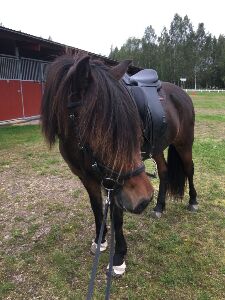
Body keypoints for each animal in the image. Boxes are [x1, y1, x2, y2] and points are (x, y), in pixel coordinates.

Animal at [40, 54, 197, 276]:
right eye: (97, 130)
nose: (143, 199)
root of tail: (181, 92)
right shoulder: (89, 178)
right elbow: (97, 208)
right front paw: (100, 241)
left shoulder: (115, 184)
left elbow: (116, 217)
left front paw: (118, 257)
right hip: (157, 148)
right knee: (164, 171)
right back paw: (159, 206)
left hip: (184, 144)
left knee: (190, 169)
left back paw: (193, 201)